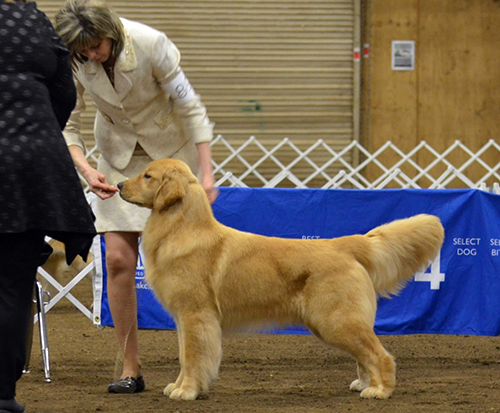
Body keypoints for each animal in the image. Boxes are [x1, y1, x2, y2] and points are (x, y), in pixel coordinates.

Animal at [118, 157, 446, 400]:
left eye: (147, 176)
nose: (119, 184)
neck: (182, 229)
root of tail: (343, 243)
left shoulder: (195, 315)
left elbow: (192, 356)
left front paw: (187, 391)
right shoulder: (185, 319)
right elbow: (185, 356)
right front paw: (179, 386)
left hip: (336, 320)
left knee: (380, 355)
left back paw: (380, 390)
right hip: (334, 322)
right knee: (364, 354)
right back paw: (365, 384)